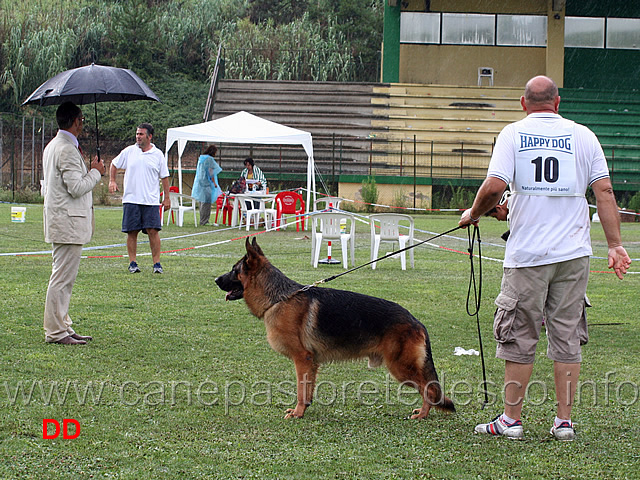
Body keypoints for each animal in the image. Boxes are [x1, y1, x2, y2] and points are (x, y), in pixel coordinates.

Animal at [216, 240, 456, 420]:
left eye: (234, 270)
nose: (216, 279)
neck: (279, 298)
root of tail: (416, 321)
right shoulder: (311, 362)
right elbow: (307, 390)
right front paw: (303, 411)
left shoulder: (302, 358)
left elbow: (301, 390)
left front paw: (297, 413)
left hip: (400, 367)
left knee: (430, 388)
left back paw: (423, 414)